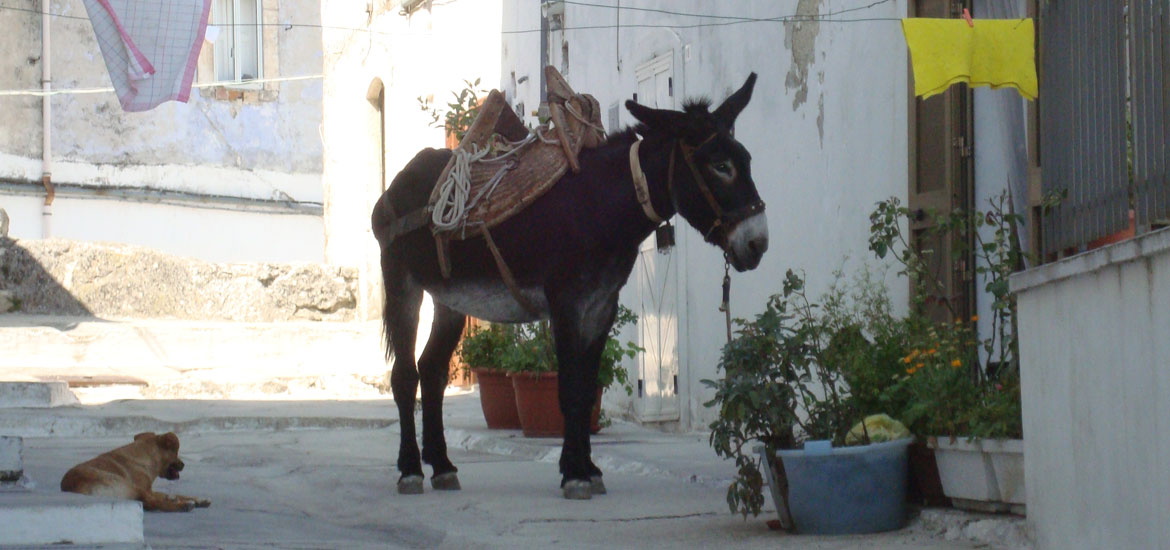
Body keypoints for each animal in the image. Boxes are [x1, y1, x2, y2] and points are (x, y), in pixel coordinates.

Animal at [59, 430, 211, 510]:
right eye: (175, 452)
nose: (183, 465)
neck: (144, 457)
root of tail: (79, 489)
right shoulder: (145, 489)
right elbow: (162, 497)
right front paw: (183, 500)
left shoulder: (148, 489)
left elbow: (175, 494)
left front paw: (199, 499)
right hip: (126, 484)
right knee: (152, 503)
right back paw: (184, 505)